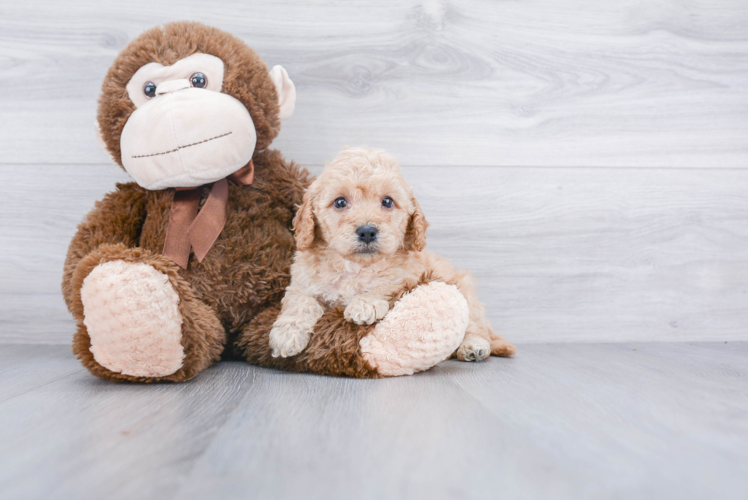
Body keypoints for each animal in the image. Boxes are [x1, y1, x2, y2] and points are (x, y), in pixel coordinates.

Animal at [268, 146, 516, 362]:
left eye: (387, 201)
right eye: (340, 202)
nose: (367, 231)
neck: (357, 267)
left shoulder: (408, 277)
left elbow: (386, 285)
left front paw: (364, 304)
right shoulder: (303, 284)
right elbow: (301, 302)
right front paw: (286, 335)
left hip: (465, 292)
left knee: (476, 328)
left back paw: (473, 347)